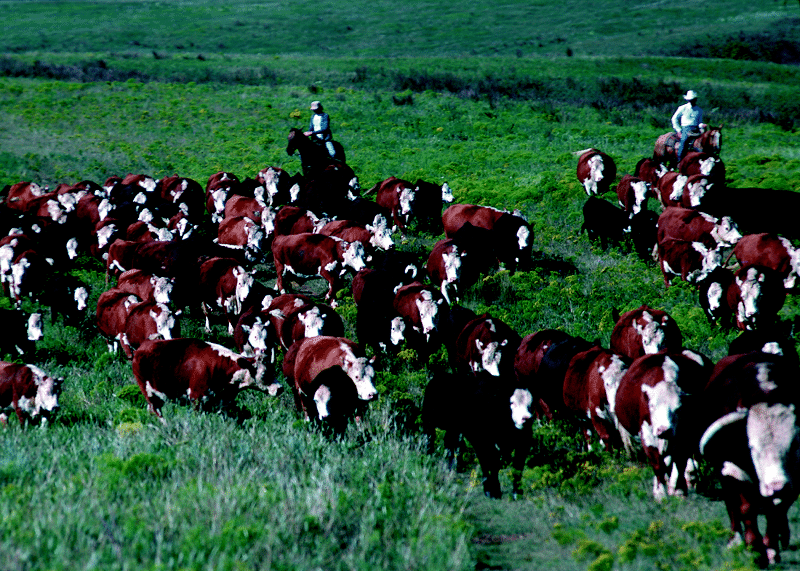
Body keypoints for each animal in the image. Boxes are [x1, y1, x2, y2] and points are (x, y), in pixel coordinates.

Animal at [132, 338, 282, 423]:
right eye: (264, 373)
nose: (280, 388)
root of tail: (142, 347)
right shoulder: (196, 398)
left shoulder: (223, 403)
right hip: (149, 392)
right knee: (157, 412)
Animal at [422, 370, 532, 499]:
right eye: (512, 402)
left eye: (530, 404)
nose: (527, 418)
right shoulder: (480, 440)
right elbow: (489, 463)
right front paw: (491, 491)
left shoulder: (523, 442)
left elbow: (517, 467)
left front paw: (517, 493)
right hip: (428, 420)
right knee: (428, 439)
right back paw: (427, 460)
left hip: (454, 427)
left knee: (450, 443)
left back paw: (452, 468)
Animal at [615, 350, 712, 500]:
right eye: (652, 406)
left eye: (679, 408)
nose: (663, 430)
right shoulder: (647, 432)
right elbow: (657, 463)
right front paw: (660, 494)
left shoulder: (684, 434)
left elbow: (680, 462)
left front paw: (679, 490)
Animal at [698, 352, 800, 566]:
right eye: (752, 447)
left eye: (794, 443)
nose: (777, 486)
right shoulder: (731, 468)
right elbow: (746, 508)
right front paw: (754, 549)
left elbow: (776, 510)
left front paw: (771, 550)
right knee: (732, 505)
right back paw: (735, 540)